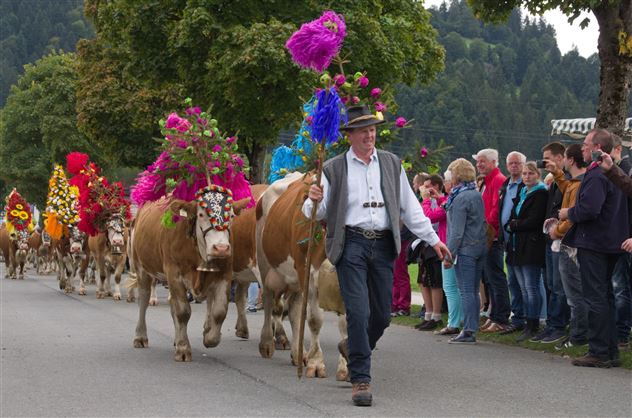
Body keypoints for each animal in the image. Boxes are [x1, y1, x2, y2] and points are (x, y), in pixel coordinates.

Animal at [131, 194, 249, 360]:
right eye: (201, 215)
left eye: (231, 216)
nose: (221, 248)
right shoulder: (174, 273)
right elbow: (183, 312)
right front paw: (183, 349)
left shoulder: (224, 274)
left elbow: (219, 311)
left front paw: (209, 338)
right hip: (141, 267)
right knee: (143, 300)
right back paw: (140, 337)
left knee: (171, 303)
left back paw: (176, 338)